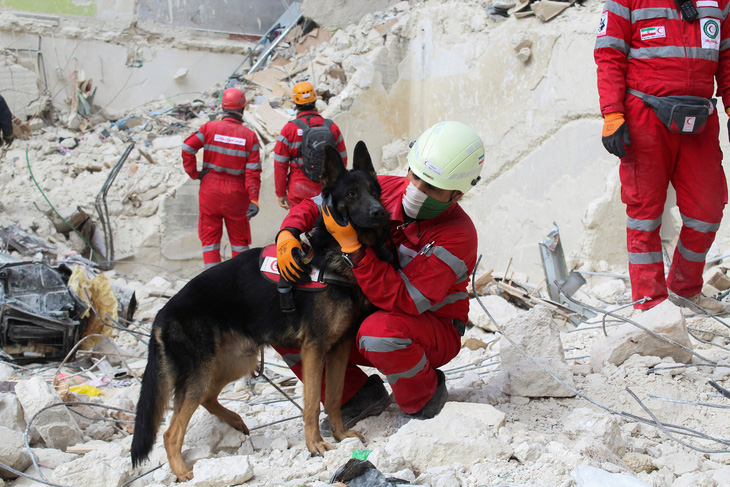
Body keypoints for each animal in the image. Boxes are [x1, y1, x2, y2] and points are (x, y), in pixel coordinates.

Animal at [131, 142, 392, 484]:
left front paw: (340, 435)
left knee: (207, 398)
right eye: (351, 194)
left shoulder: (340, 348)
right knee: (171, 431)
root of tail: (162, 314)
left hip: (236, 361)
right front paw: (315, 445)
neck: (338, 256)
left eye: (375, 190)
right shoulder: (315, 348)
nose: (379, 213)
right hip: (203, 371)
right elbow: (312, 403)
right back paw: (183, 471)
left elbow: (334, 397)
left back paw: (235, 421)